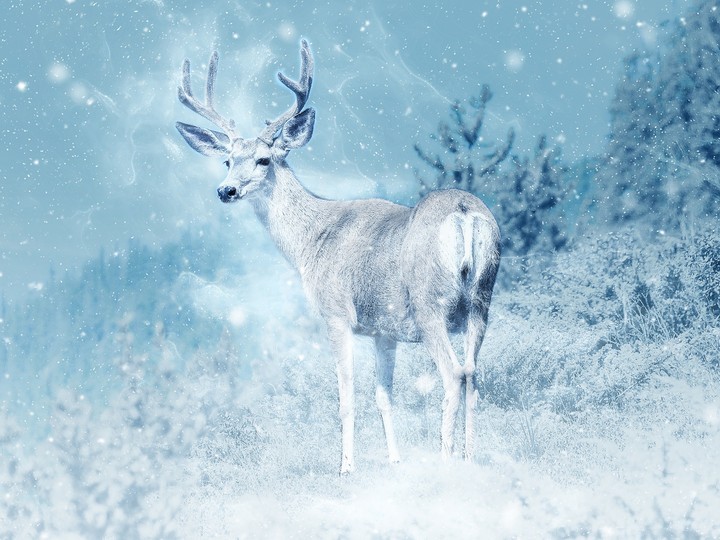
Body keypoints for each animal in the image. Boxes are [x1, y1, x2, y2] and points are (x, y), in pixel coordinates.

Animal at [175, 39, 500, 474]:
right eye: (227, 160)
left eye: (263, 159)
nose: (225, 190)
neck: (312, 240)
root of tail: (465, 214)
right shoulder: (383, 330)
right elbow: (383, 397)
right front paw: (394, 461)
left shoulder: (336, 313)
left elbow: (346, 398)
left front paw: (346, 467)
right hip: (481, 301)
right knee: (474, 375)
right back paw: (469, 459)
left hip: (430, 303)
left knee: (454, 375)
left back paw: (445, 460)